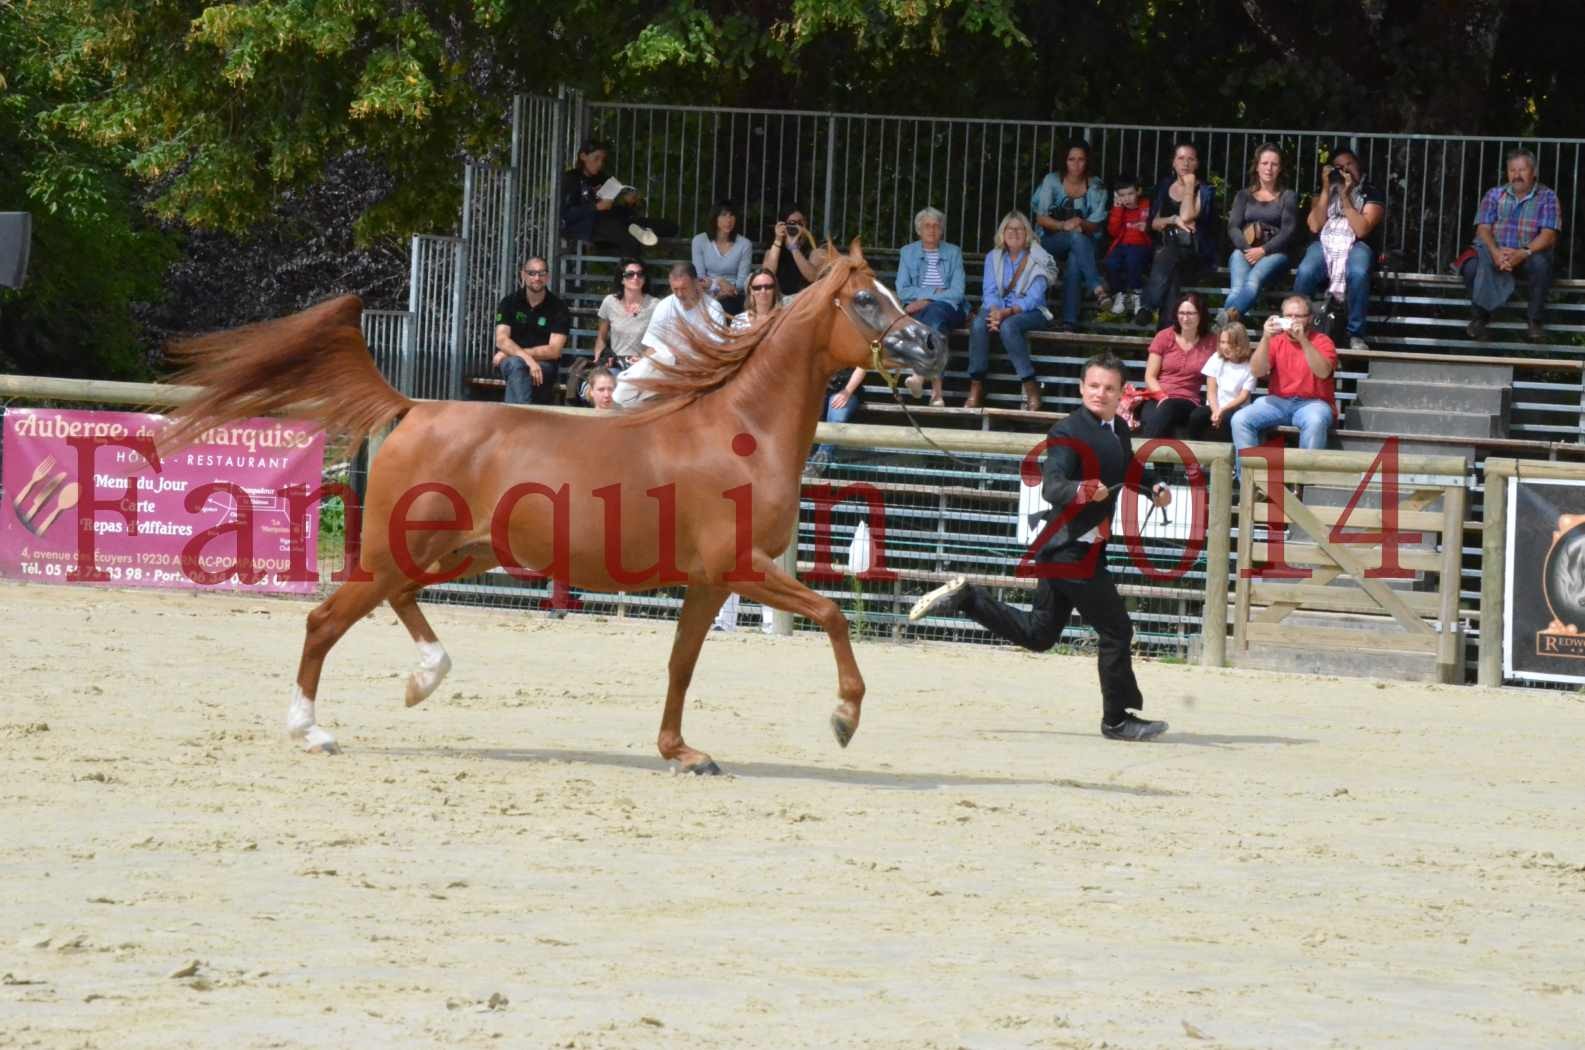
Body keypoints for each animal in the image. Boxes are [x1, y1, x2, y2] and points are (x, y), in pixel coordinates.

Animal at [164, 244, 938, 774]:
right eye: (865, 299)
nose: (929, 345)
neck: (736, 431)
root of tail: (413, 407)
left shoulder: (708, 582)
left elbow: (680, 665)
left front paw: (681, 752)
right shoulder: (739, 568)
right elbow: (831, 613)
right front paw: (843, 717)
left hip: (458, 553)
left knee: (400, 602)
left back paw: (423, 680)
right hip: (397, 550)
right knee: (324, 620)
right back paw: (313, 731)